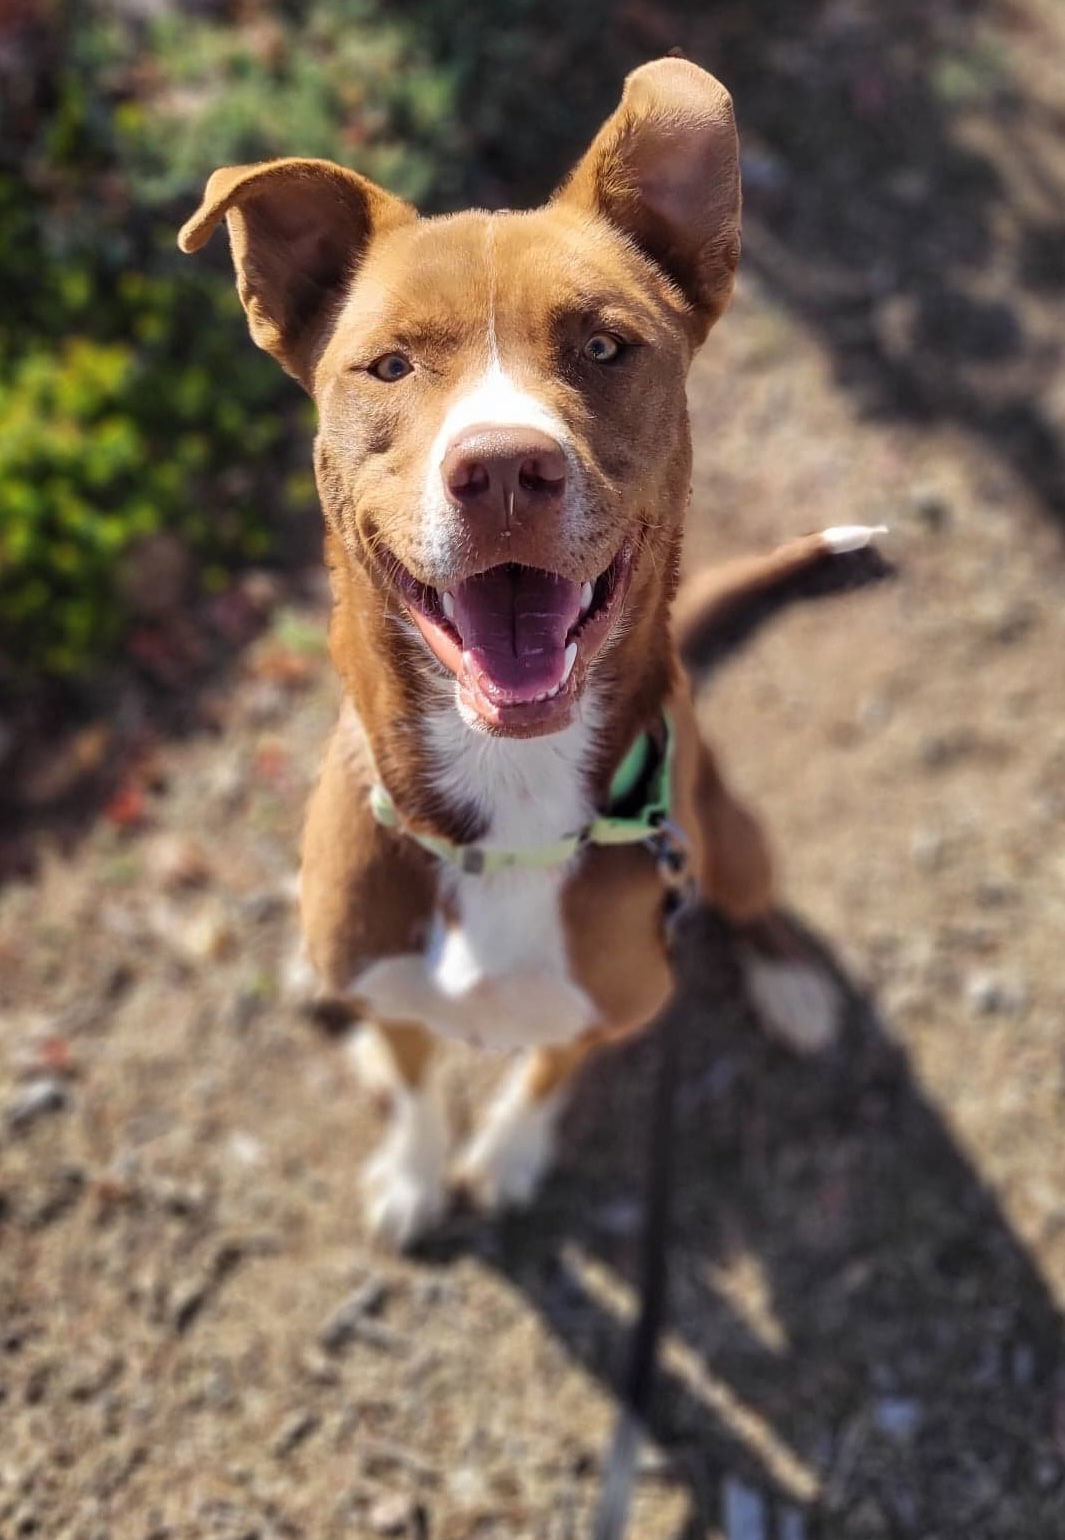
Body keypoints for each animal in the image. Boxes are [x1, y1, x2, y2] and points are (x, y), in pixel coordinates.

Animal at [183, 56, 892, 1250]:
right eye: (389, 364)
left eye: (603, 346)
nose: (506, 468)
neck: (505, 808)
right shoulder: (400, 989)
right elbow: (413, 1073)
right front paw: (415, 1171)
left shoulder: (613, 1007)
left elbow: (549, 1074)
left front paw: (508, 1156)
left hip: (727, 831)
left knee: (752, 895)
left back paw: (790, 985)